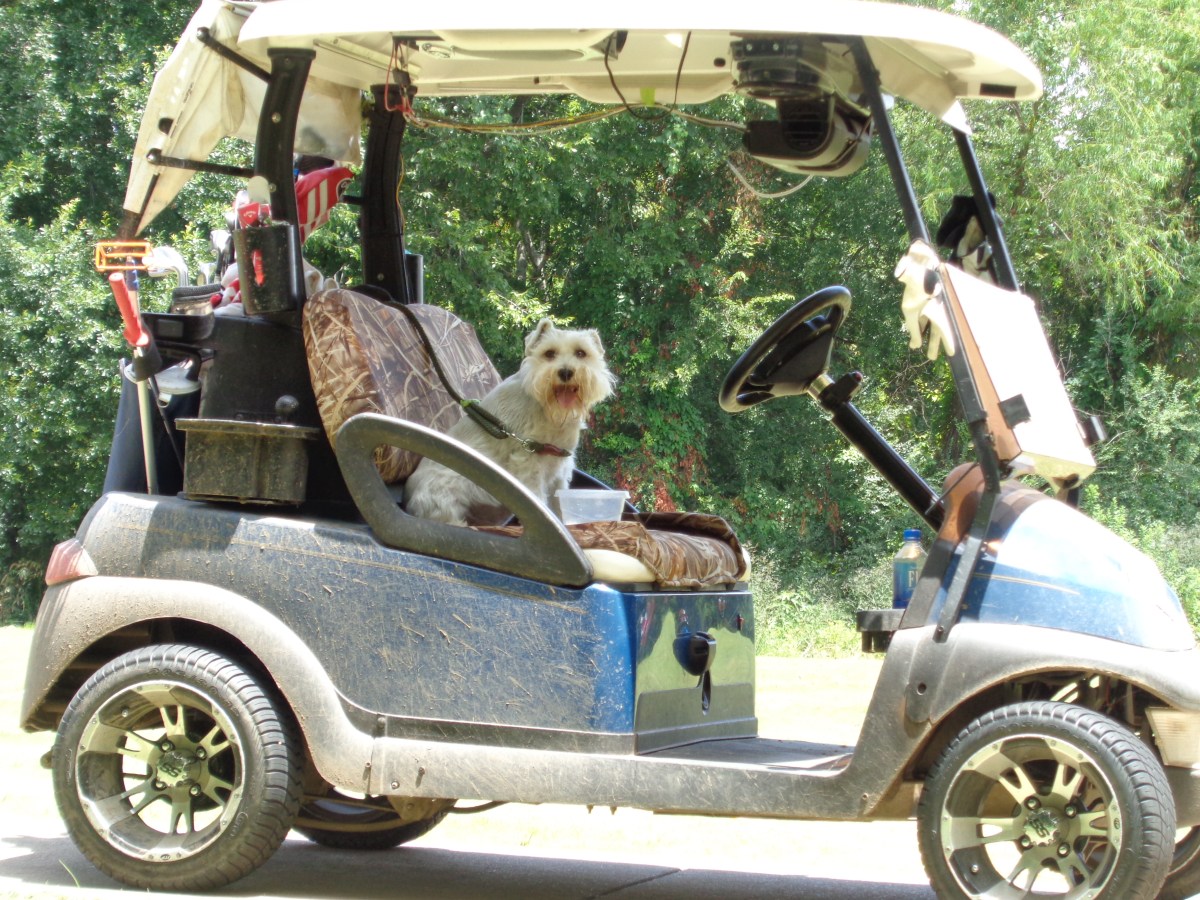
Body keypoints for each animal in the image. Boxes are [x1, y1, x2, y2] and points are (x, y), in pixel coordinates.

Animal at [404, 318, 615, 526]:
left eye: (581, 353)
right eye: (549, 353)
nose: (565, 372)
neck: (548, 410)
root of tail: (408, 497)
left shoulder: (560, 469)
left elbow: (559, 505)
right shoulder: (528, 467)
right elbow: (541, 502)